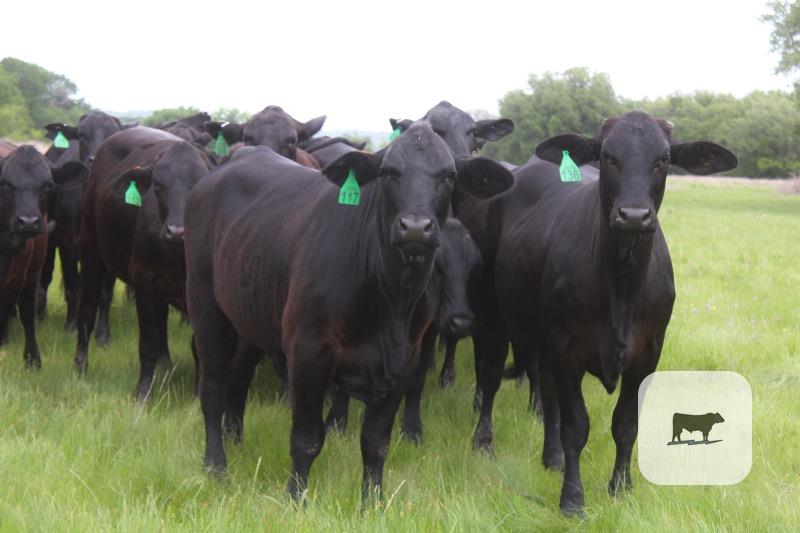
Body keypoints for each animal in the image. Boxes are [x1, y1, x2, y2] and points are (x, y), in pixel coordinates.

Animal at [0, 146, 87, 367]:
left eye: (48, 185)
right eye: (5, 183)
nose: (28, 222)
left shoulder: (22, 276)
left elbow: (23, 312)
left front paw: (31, 359)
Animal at [39, 111, 137, 339]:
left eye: (113, 136)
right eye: (82, 135)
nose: (95, 160)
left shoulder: (110, 244)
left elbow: (105, 293)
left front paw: (102, 333)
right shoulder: (66, 241)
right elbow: (72, 287)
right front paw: (70, 327)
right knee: (46, 276)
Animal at [72, 127, 215, 400]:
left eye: (200, 183)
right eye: (159, 185)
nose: (177, 231)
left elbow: (197, 345)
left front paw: (198, 395)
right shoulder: (143, 279)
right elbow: (148, 341)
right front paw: (143, 394)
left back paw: (165, 365)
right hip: (90, 249)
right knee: (86, 309)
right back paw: (80, 365)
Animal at [184, 122, 513, 502]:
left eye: (449, 175)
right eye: (388, 171)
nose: (415, 227)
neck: (390, 301)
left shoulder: (405, 360)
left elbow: (376, 442)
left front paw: (372, 502)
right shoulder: (308, 351)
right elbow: (307, 438)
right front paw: (295, 498)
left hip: (249, 314)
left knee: (238, 376)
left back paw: (236, 443)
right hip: (205, 307)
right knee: (212, 385)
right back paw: (216, 465)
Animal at [457, 110, 737, 516]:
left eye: (664, 159)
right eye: (607, 156)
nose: (634, 215)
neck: (621, 284)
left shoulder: (648, 352)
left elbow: (625, 424)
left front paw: (621, 486)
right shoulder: (566, 347)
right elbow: (576, 426)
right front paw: (572, 499)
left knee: (547, 396)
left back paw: (552, 457)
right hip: (494, 315)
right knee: (491, 379)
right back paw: (484, 442)